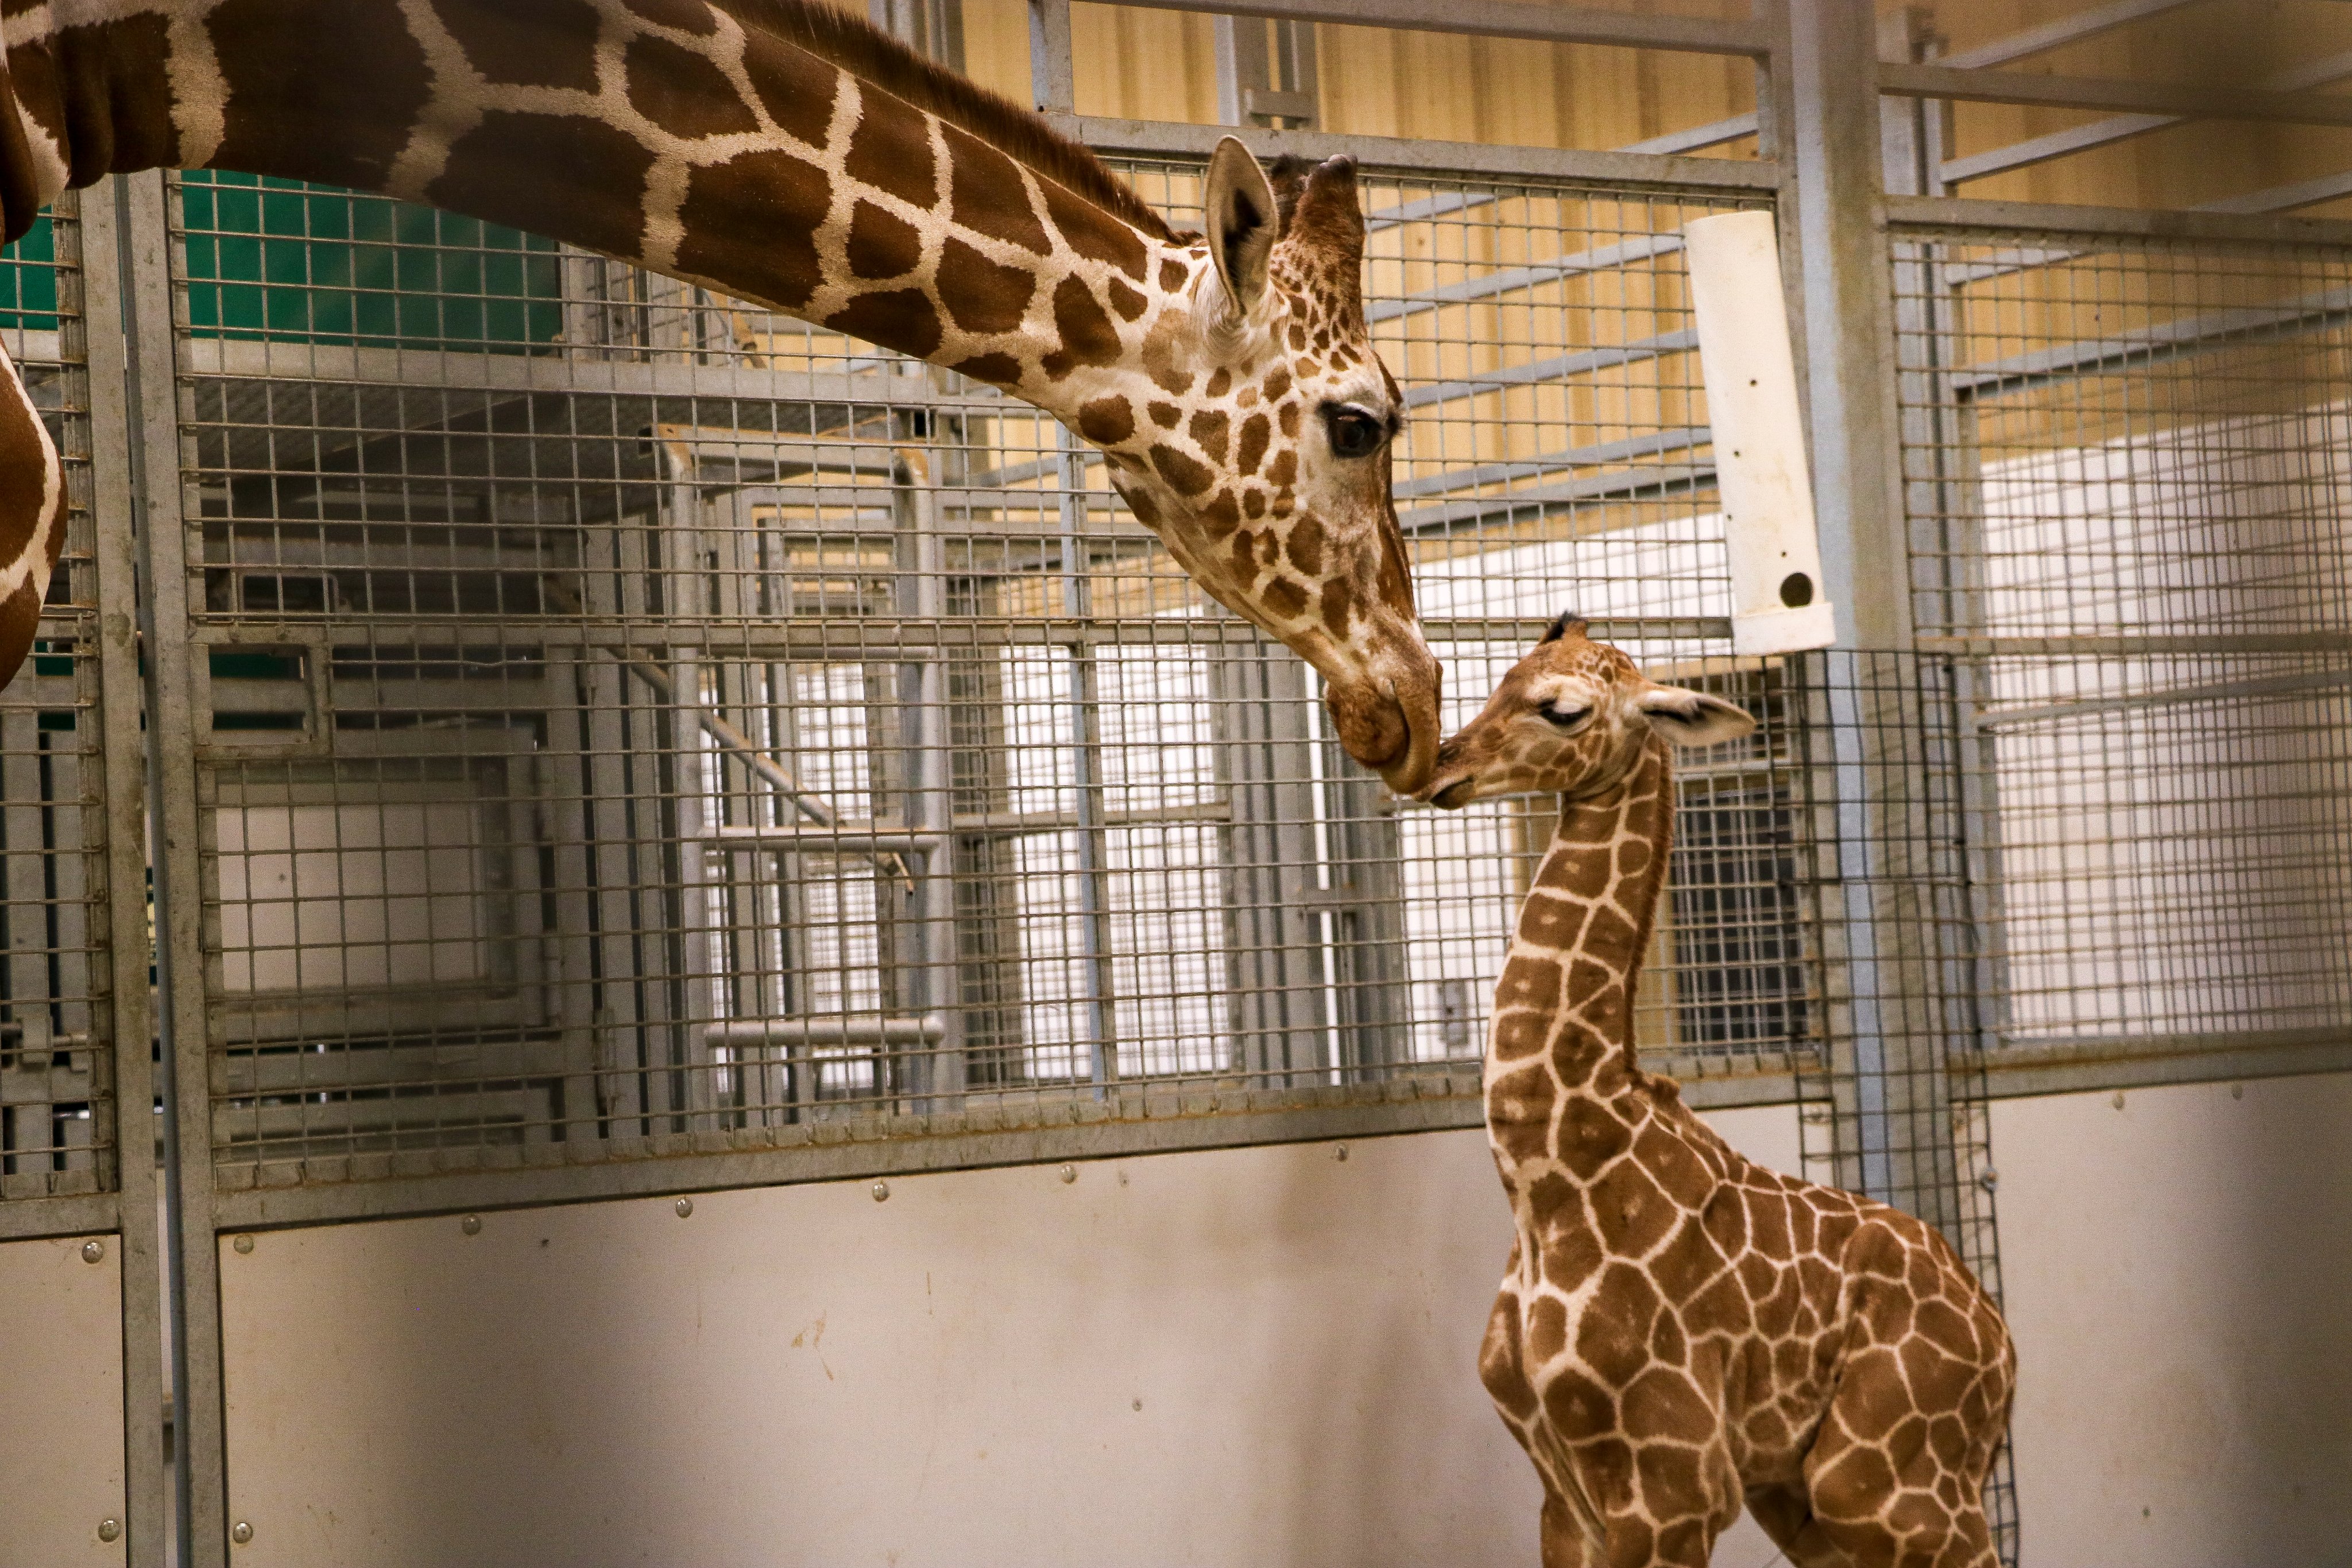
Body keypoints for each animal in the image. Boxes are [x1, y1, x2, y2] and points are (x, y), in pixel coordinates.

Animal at [1421, 617, 2015, 1568]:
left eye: (1561, 708)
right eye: (1505, 674)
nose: (1445, 768)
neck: (1550, 1180)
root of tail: (2002, 1344)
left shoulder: (1672, 1487)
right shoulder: (1562, 1495)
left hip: (1886, 1486)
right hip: (1804, 1498)